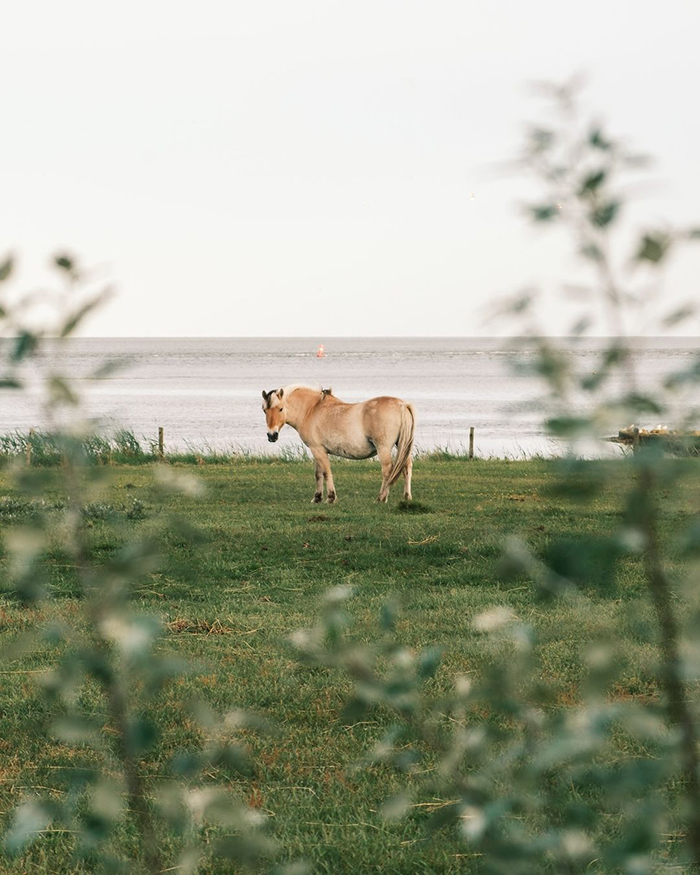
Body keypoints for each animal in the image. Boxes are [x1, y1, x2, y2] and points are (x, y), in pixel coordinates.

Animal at [262, 384, 416, 504]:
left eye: (281, 408)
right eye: (264, 410)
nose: (272, 435)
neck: (311, 410)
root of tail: (402, 405)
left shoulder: (318, 450)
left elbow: (326, 472)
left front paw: (331, 497)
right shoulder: (317, 450)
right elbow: (318, 474)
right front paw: (317, 498)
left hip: (383, 449)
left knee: (387, 471)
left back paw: (381, 498)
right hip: (402, 446)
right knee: (407, 468)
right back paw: (407, 497)